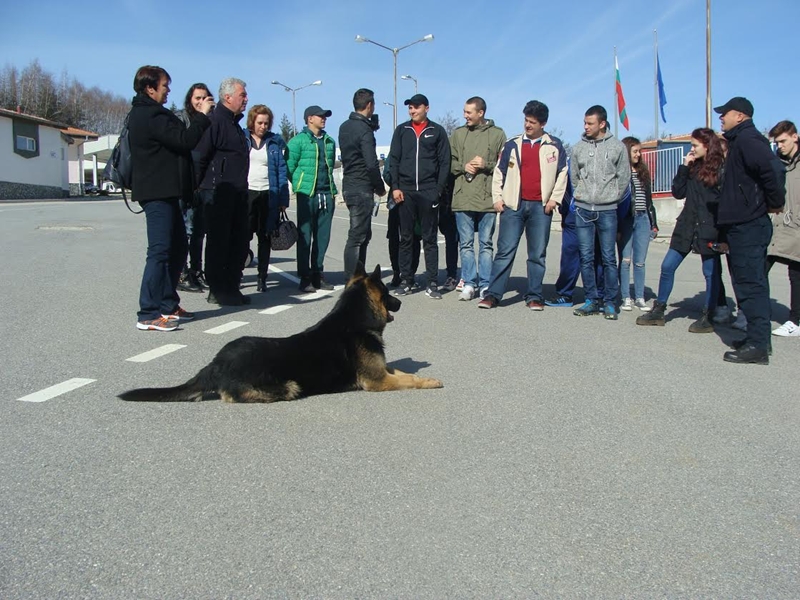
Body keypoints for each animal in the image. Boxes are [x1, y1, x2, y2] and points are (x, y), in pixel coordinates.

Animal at [119, 262, 444, 404]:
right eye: (388, 295)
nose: (401, 301)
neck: (354, 319)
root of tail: (215, 364)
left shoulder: (383, 371)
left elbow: (404, 372)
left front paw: (425, 376)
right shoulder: (377, 381)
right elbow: (408, 381)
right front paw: (430, 382)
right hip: (288, 386)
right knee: (233, 396)